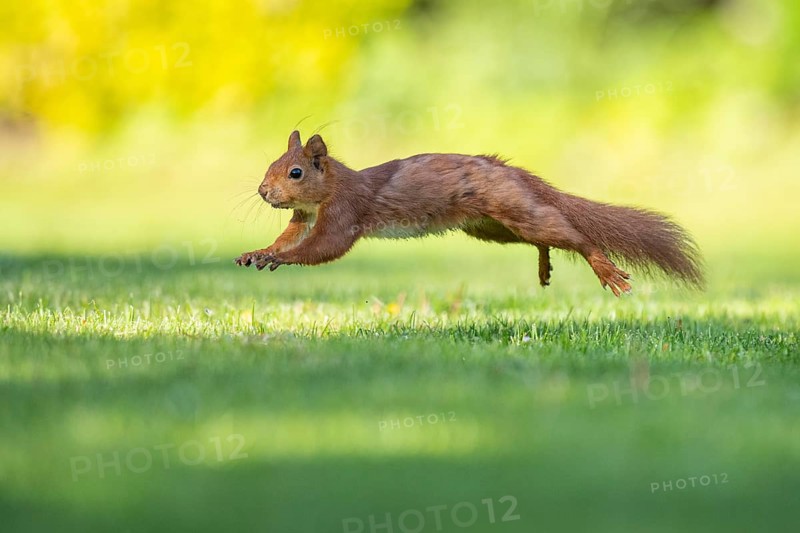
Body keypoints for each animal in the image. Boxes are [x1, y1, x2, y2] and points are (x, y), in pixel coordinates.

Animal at [235, 130, 704, 295]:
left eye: (295, 172)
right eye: (270, 165)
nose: (262, 191)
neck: (326, 190)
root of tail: (510, 171)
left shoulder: (343, 211)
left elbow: (322, 248)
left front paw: (280, 259)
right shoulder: (303, 218)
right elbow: (289, 237)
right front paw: (259, 252)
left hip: (510, 211)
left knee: (572, 235)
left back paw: (603, 268)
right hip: (490, 228)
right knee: (542, 238)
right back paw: (544, 264)